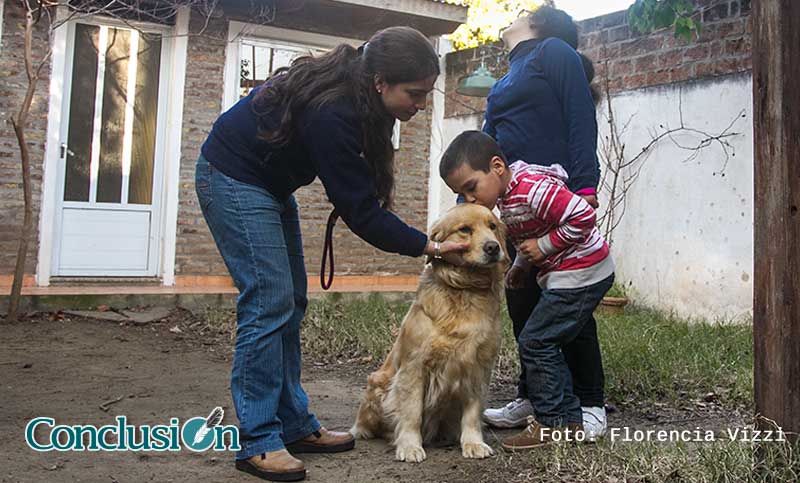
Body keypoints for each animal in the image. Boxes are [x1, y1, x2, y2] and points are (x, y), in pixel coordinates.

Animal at [348, 202, 506, 464]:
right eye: (465, 229)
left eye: (492, 226)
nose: (493, 247)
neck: (465, 290)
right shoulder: (414, 366)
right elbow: (412, 412)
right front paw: (410, 446)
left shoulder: (479, 366)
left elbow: (473, 412)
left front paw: (473, 443)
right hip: (377, 384)